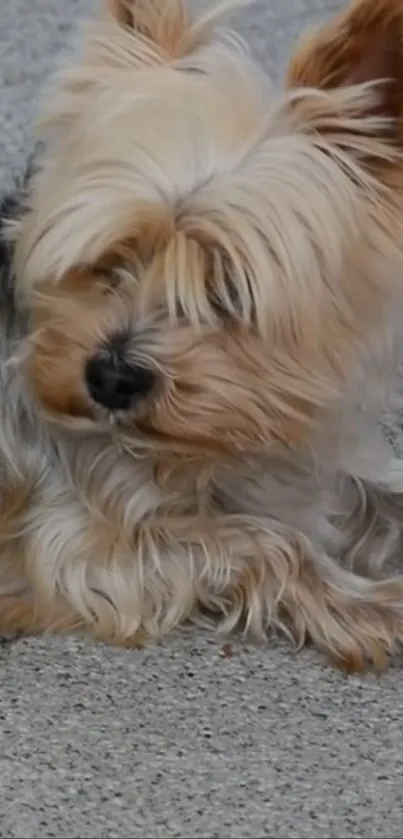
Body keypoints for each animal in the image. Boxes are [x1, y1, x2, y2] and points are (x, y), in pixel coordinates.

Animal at [2, 0, 403, 672]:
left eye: (227, 289)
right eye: (110, 261)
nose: (110, 377)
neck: (204, 447)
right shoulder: (87, 549)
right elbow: (269, 540)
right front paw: (365, 604)